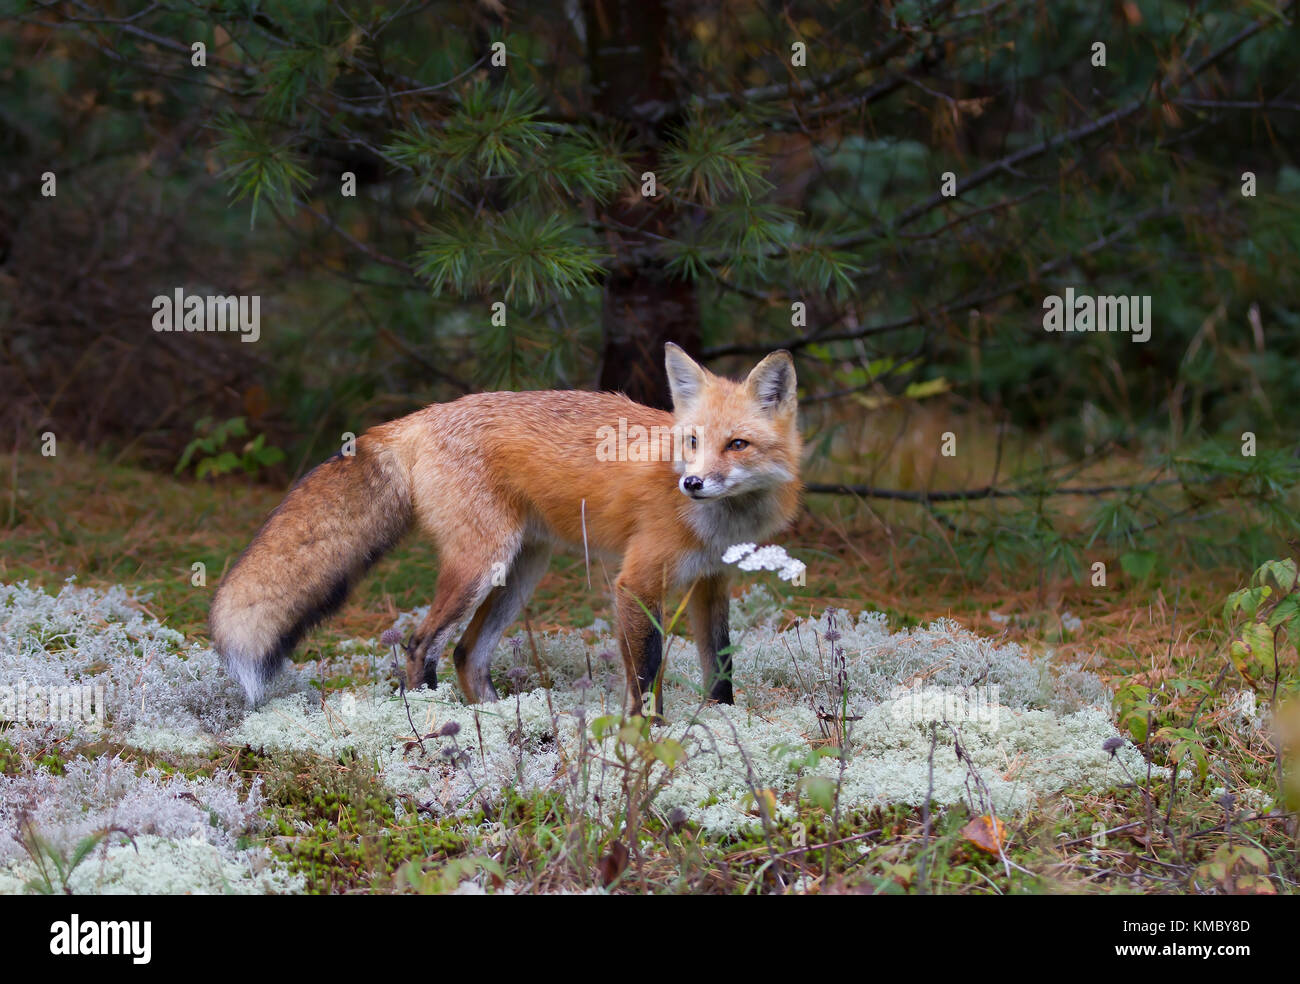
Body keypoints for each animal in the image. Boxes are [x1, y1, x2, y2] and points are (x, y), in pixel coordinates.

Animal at [209, 343, 801, 718]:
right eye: (692, 441)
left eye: (737, 445)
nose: (692, 483)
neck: (723, 523)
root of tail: (418, 417)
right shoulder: (636, 582)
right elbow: (645, 671)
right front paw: (645, 738)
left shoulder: (712, 584)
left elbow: (720, 668)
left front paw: (723, 724)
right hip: (482, 565)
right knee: (421, 646)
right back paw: (432, 720)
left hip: (520, 572)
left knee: (467, 654)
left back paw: (494, 725)